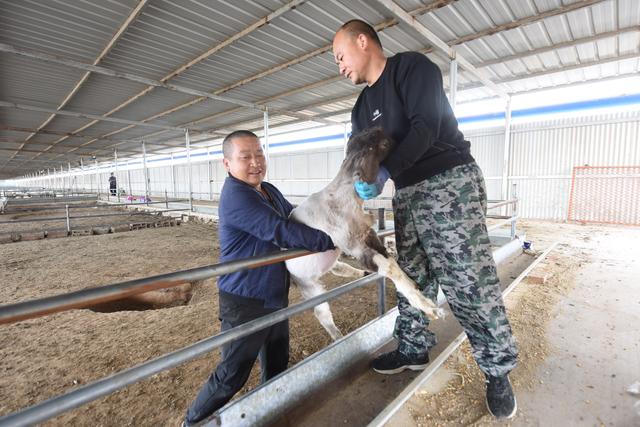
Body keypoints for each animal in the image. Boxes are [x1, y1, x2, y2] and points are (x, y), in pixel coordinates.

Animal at [286, 127, 442, 342]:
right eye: (384, 144)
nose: (403, 140)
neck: (342, 198)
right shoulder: (355, 246)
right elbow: (388, 266)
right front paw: (427, 306)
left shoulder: (369, 235)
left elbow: (392, 262)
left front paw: (414, 288)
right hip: (309, 287)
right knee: (323, 314)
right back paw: (338, 337)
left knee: (340, 268)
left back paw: (361, 274)